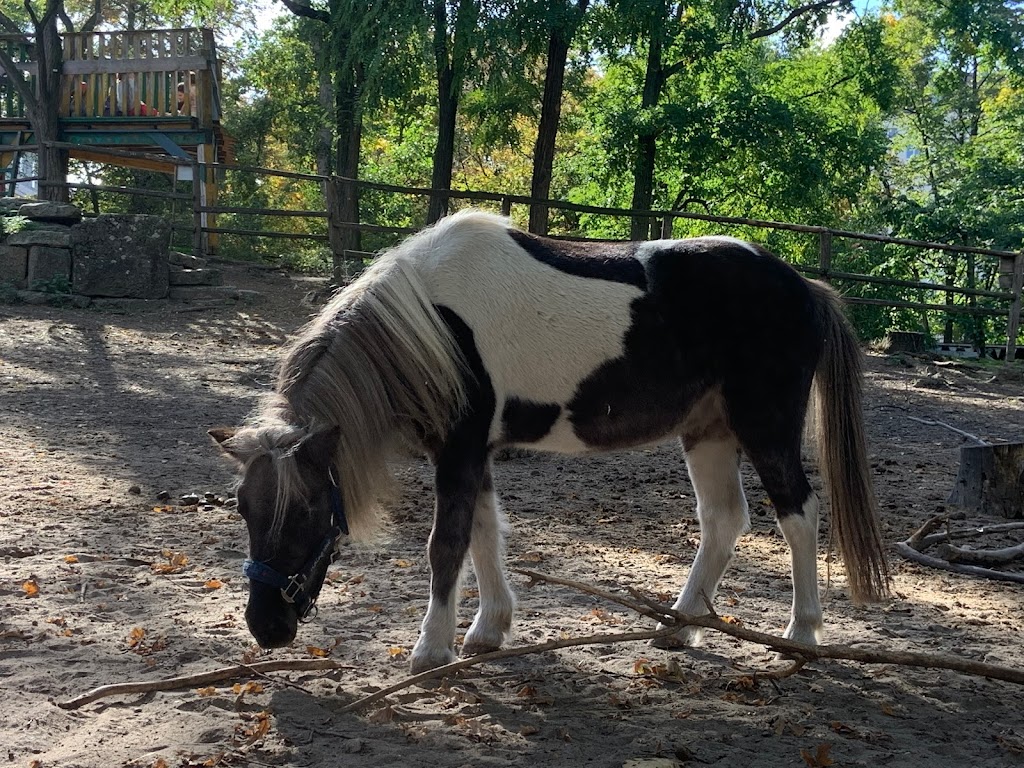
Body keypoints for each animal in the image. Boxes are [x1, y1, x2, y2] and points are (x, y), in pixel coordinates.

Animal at [214, 208, 888, 671]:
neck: (430, 324)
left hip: (764, 428)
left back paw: (802, 635)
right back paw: (679, 625)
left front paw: (431, 648)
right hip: (708, 433)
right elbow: (485, 535)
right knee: (724, 520)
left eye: (306, 509)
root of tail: (806, 287)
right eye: (243, 507)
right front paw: (488, 630)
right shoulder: (473, 454)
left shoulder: (458, 451)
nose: (266, 627)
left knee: (799, 515)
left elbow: (446, 545)